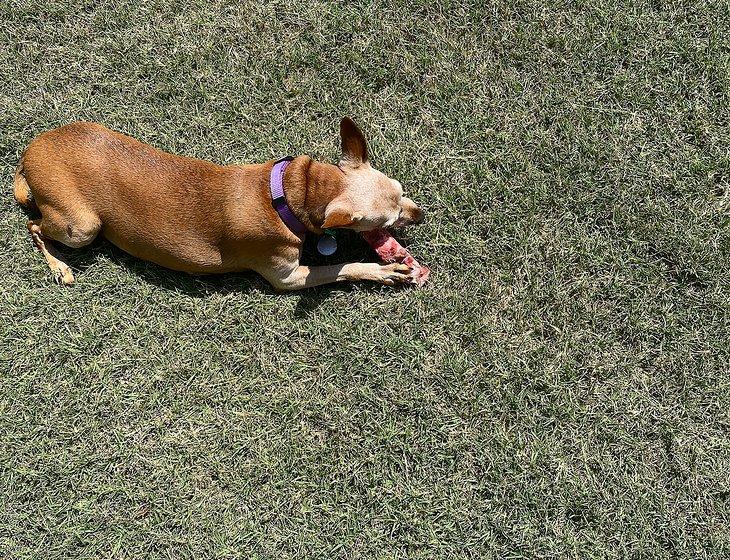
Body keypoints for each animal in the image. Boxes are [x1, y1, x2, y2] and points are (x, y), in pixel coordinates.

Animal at [11, 120, 424, 290]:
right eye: (385, 220)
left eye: (402, 189)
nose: (420, 214)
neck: (290, 191)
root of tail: (27, 154)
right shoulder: (286, 278)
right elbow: (345, 266)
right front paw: (384, 271)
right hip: (81, 226)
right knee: (34, 226)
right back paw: (60, 267)